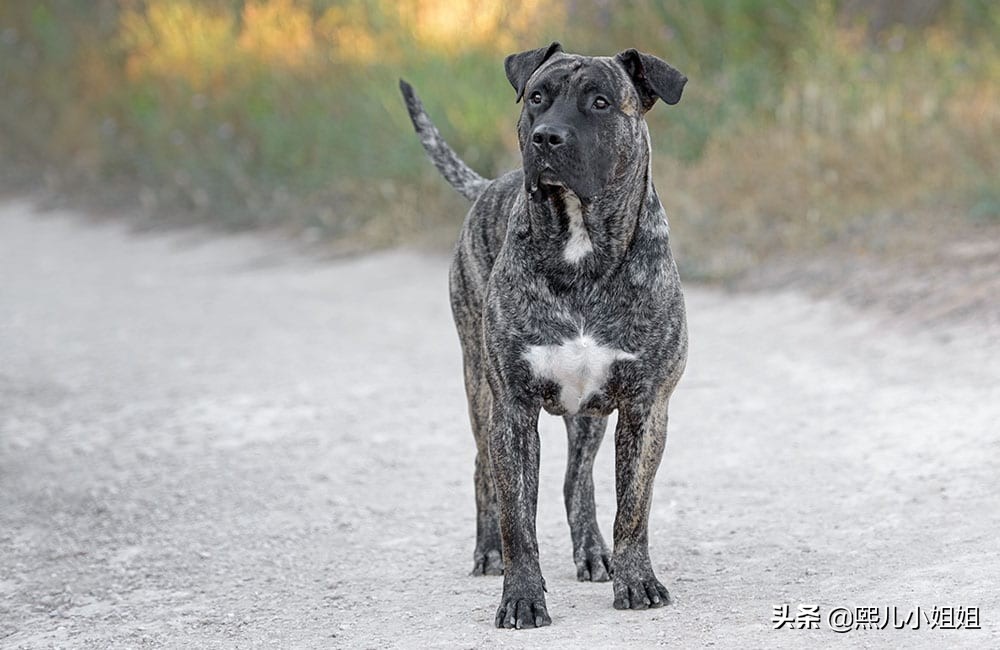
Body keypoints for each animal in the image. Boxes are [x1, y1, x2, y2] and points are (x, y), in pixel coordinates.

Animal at [398, 41, 688, 628]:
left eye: (600, 102)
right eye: (537, 97)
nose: (547, 137)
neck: (581, 248)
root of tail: (489, 184)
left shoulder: (646, 407)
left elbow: (633, 508)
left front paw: (636, 581)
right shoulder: (512, 408)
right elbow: (518, 518)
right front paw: (522, 596)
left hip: (589, 416)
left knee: (578, 481)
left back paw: (593, 552)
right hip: (479, 388)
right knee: (484, 471)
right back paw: (488, 551)